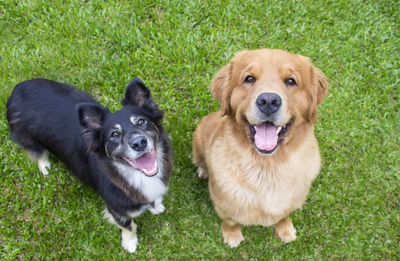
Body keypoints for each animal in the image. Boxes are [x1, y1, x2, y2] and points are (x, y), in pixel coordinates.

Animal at [6, 77, 172, 252]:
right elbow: (129, 226)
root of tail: (17, 88)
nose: (139, 143)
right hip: (29, 139)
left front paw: (156, 207)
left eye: (141, 121)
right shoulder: (116, 209)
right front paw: (130, 243)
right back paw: (44, 165)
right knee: (38, 152)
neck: (133, 174)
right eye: (114, 134)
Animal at [194, 48, 328, 246]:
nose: (269, 101)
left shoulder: (292, 201)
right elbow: (230, 221)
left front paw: (285, 229)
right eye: (249, 78)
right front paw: (232, 236)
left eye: (291, 81)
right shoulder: (224, 205)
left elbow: (283, 215)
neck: (268, 166)